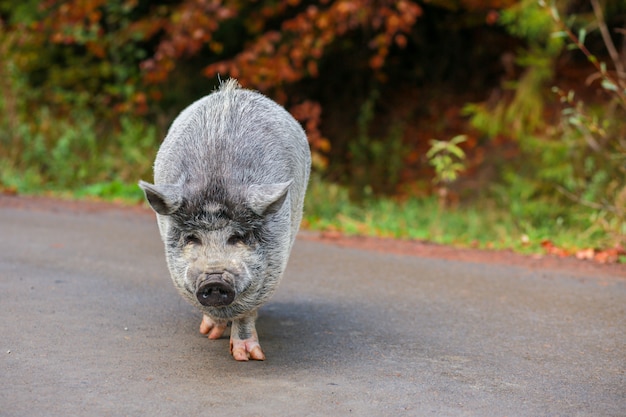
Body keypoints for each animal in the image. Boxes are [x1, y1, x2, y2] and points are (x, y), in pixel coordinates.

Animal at [139, 79, 310, 360]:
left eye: (238, 237)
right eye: (191, 238)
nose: (214, 279)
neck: (216, 189)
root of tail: (233, 90)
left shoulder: (273, 264)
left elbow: (246, 311)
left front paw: (250, 357)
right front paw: (210, 334)